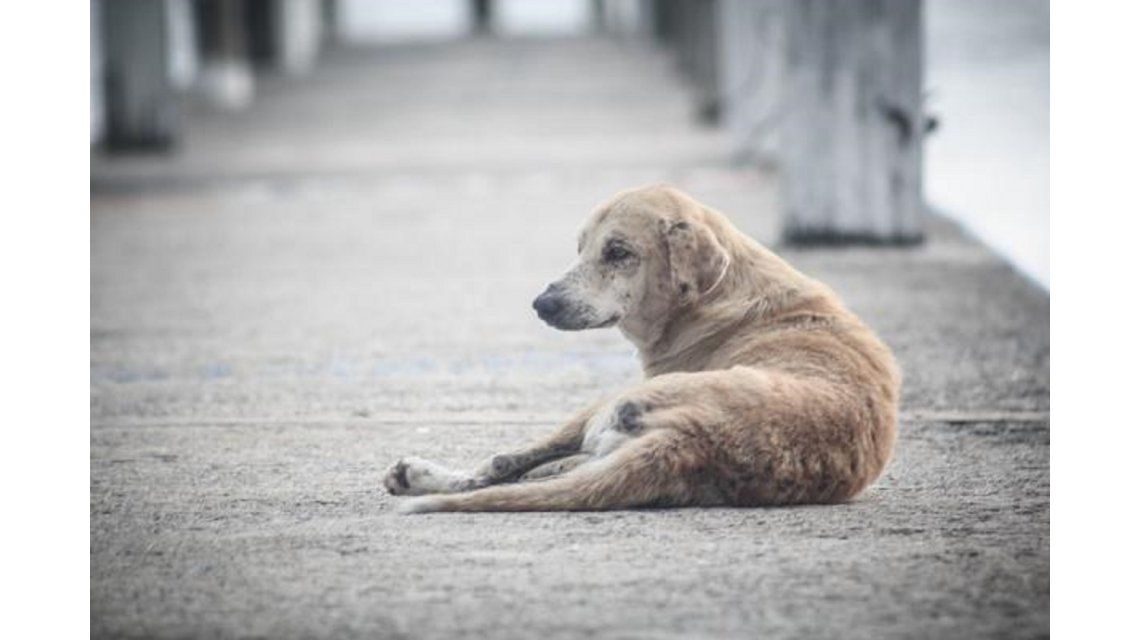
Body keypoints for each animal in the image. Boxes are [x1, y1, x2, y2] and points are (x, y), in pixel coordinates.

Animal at [383, 182, 898, 511]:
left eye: (618, 253)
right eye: (580, 248)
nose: (541, 304)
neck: (719, 293)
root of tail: (691, 440)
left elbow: (507, 461)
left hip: (607, 402)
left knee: (501, 466)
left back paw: (420, 476)